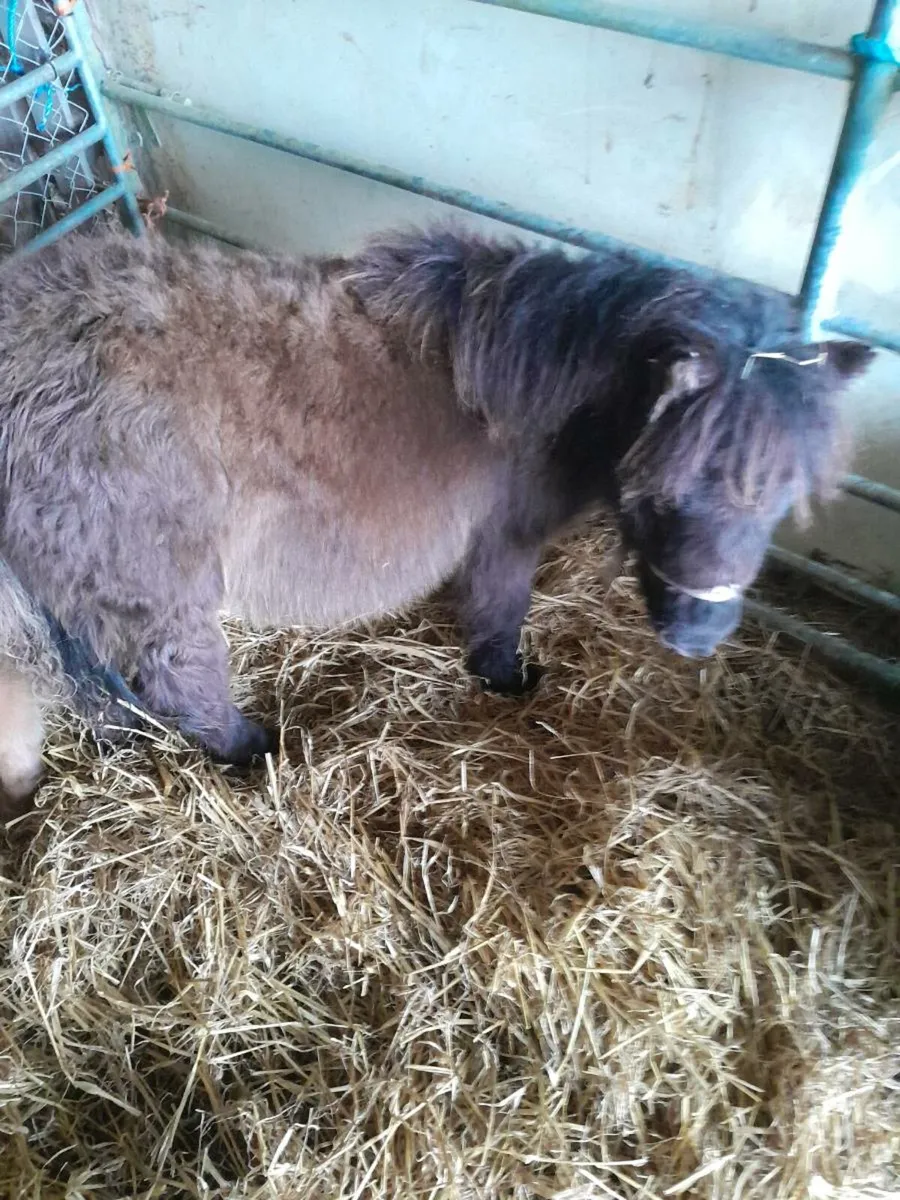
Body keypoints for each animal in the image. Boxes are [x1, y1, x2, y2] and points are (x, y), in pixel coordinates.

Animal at [0, 224, 873, 810]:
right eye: (667, 485)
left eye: (783, 492)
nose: (696, 637)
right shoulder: (505, 537)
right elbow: (500, 606)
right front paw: (505, 679)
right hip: (150, 584)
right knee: (176, 678)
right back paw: (252, 750)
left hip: (74, 589)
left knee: (95, 682)